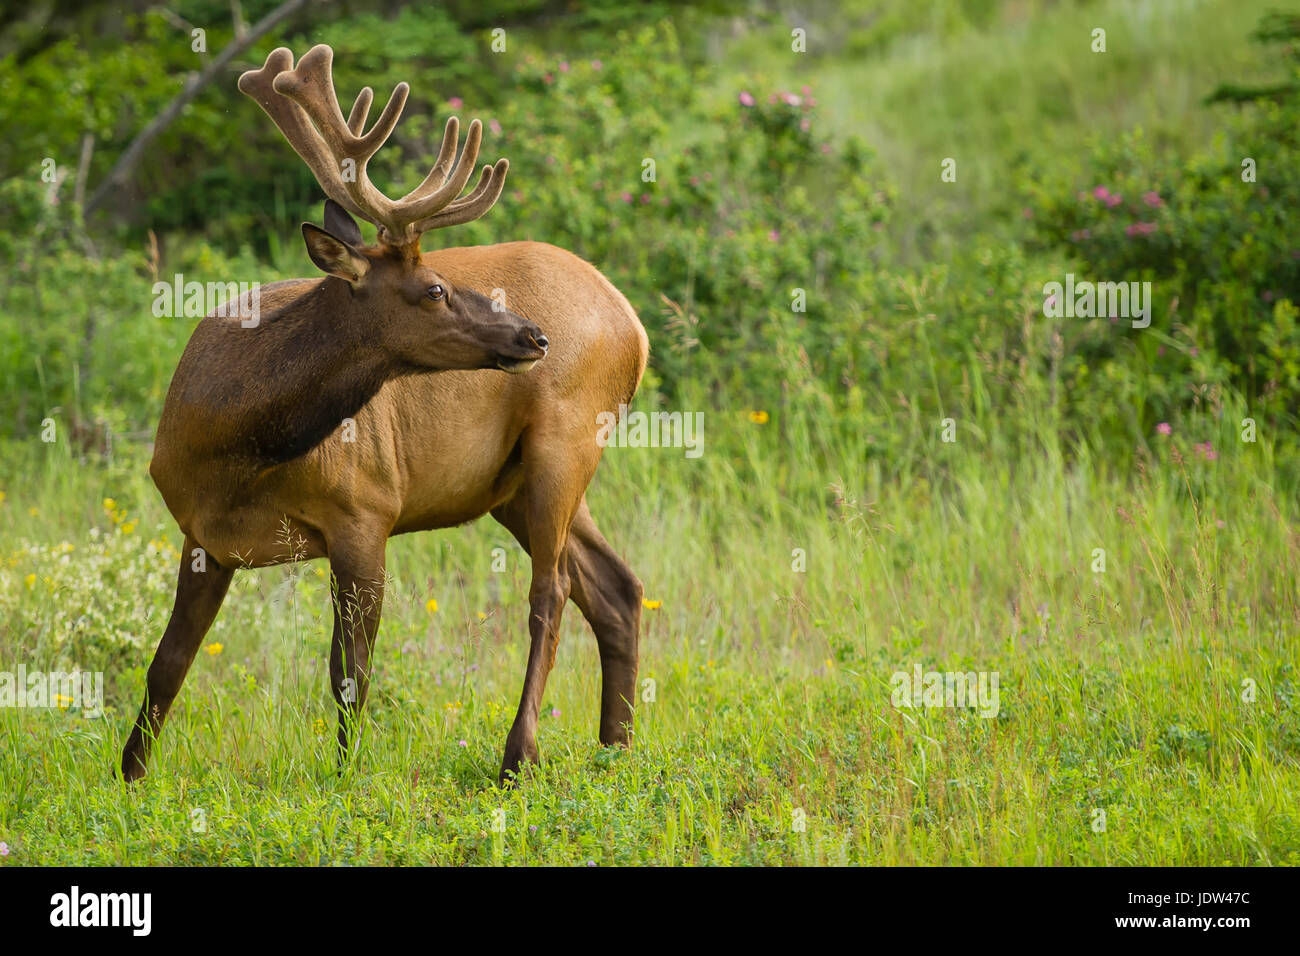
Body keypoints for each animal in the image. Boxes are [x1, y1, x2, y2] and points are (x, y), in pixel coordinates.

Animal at [120, 44, 648, 787]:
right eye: (433, 289)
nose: (533, 336)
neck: (231, 449)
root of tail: (633, 324)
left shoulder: (365, 510)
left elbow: (350, 673)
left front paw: (345, 776)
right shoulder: (200, 535)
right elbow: (166, 666)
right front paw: (129, 776)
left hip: (565, 440)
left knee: (552, 593)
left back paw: (520, 754)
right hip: (513, 485)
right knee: (616, 587)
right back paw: (615, 749)